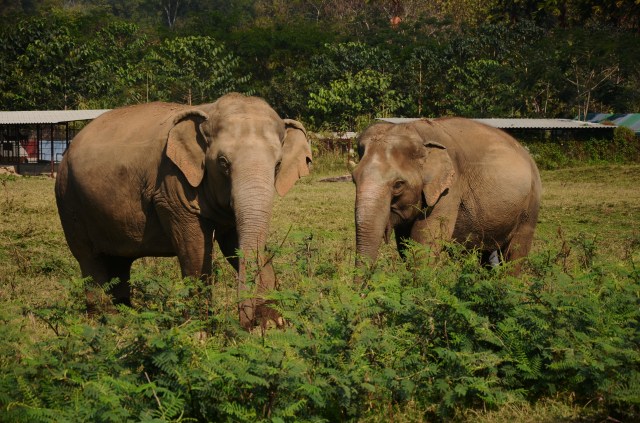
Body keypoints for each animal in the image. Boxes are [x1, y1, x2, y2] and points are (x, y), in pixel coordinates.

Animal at [55, 93, 312, 328]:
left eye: (278, 164)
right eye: (223, 162)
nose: (249, 324)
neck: (208, 110)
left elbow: (235, 245)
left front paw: (274, 325)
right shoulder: (171, 184)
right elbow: (195, 250)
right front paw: (199, 331)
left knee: (120, 261)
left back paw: (126, 317)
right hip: (69, 201)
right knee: (90, 259)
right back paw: (106, 321)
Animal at [352, 117, 541, 273]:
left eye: (398, 184)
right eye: (354, 179)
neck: (414, 130)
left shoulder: (449, 190)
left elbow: (425, 244)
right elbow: (405, 245)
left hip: (531, 204)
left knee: (515, 254)